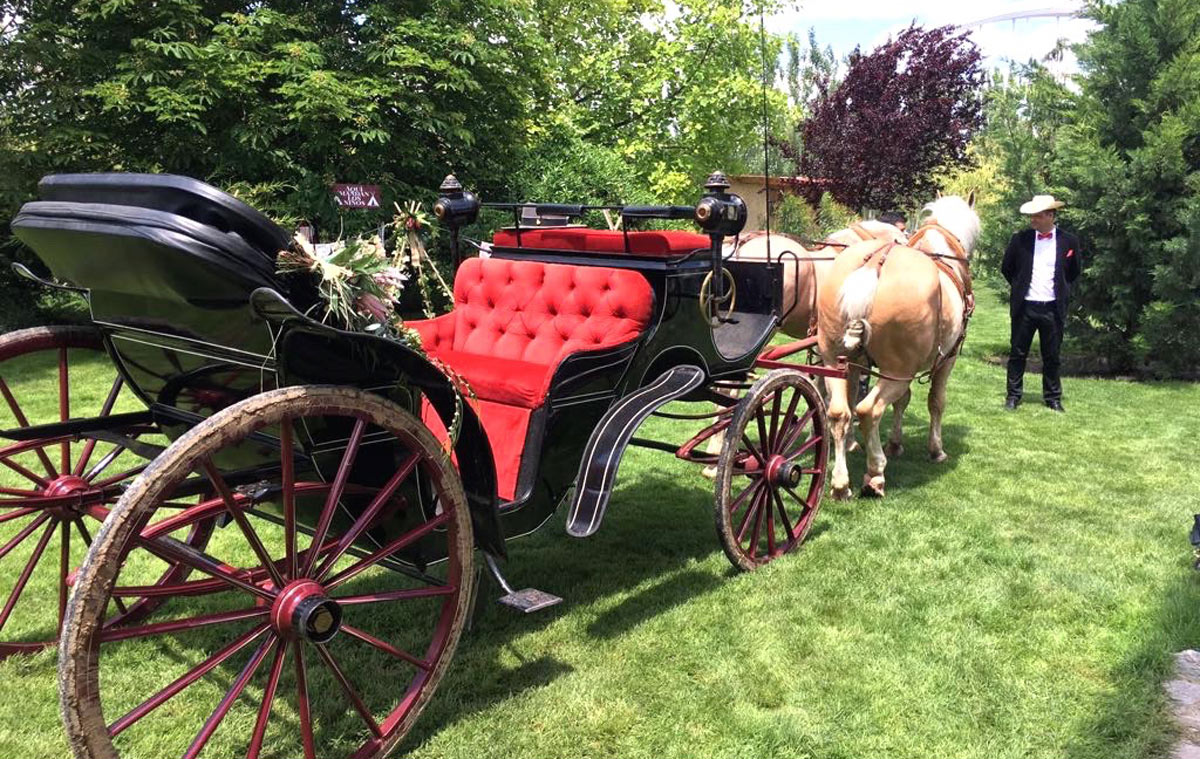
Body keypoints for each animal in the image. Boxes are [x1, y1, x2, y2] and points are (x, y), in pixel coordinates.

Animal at [820, 194, 979, 497]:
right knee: (869, 411)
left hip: (836, 362)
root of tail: (875, 263)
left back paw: (841, 483)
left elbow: (902, 401)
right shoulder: (947, 360)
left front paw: (895, 443)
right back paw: (875, 473)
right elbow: (936, 402)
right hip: (899, 371)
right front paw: (936, 449)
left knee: (839, 413)